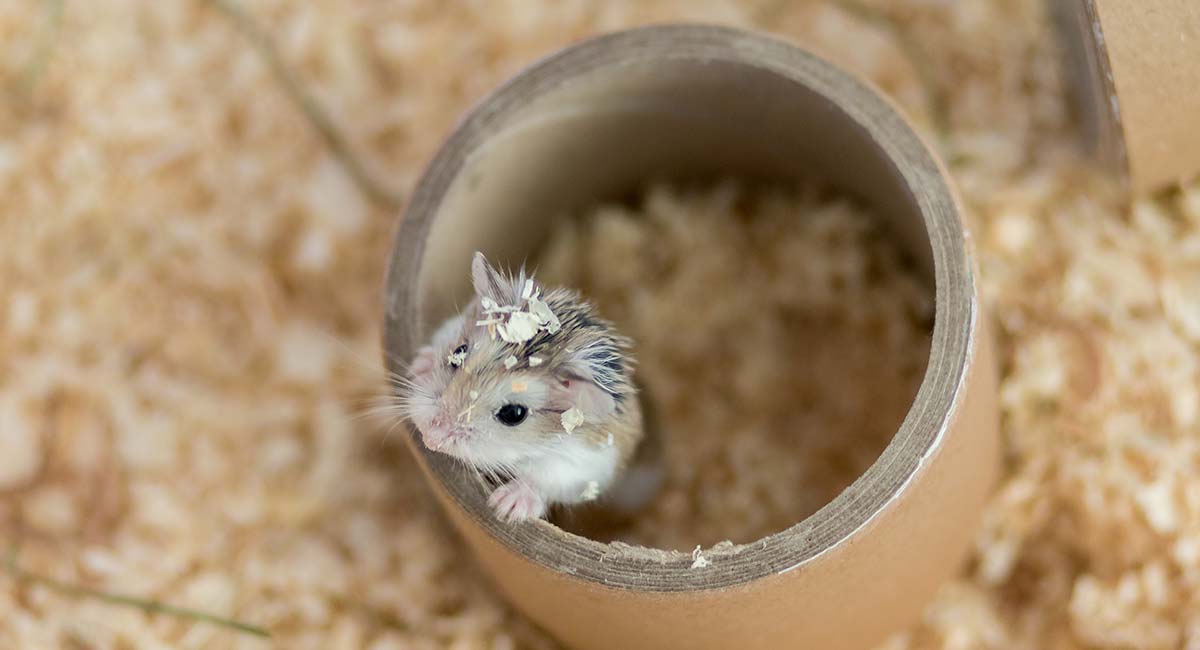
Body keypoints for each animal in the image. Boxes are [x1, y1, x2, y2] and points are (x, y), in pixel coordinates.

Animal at [400, 251, 648, 522]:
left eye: (513, 414)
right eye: (458, 353)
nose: (429, 439)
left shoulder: (581, 466)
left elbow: (543, 481)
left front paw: (504, 506)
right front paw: (419, 366)